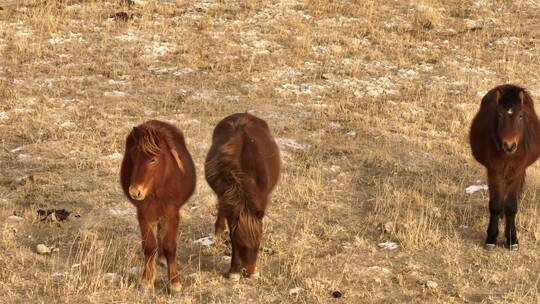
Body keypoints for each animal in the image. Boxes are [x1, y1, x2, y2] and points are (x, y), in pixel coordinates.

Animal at [119, 119, 195, 292]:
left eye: (153, 159)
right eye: (133, 156)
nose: (135, 191)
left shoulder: (172, 213)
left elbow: (170, 246)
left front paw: (174, 283)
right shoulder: (143, 214)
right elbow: (149, 246)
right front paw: (146, 281)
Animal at [468, 84, 540, 251]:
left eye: (520, 116)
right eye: (499, 115)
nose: (509, 145)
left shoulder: (517, 172)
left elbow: (511, 206)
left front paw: (512, 239)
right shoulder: (494, 172)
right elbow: (495, 205)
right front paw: (491, 238)